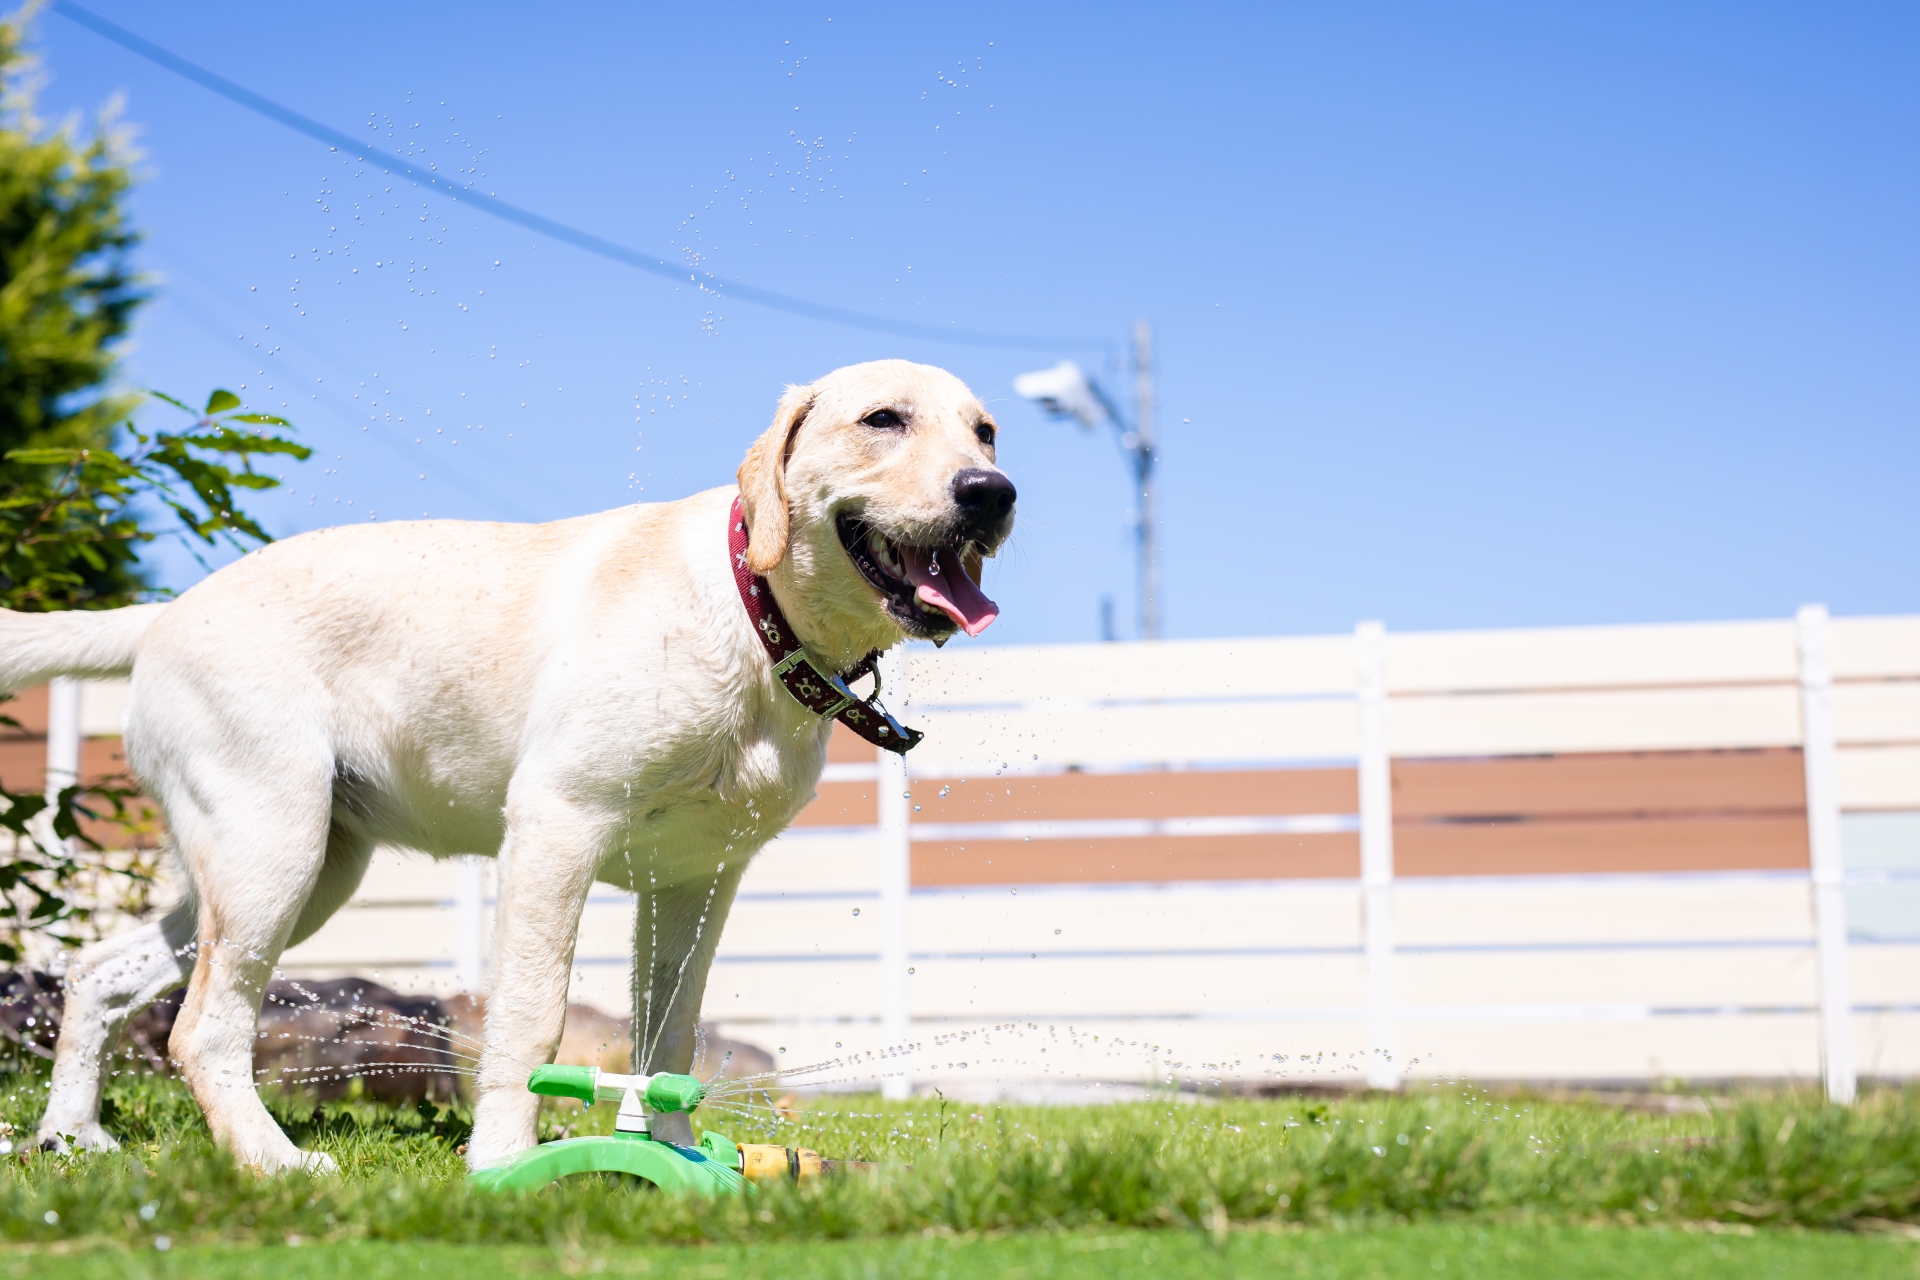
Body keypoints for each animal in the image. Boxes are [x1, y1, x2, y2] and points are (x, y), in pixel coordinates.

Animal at [3, 358, 1021, 1174]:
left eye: (986, 430)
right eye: (883, 419)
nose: (993, 492)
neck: (751, 609)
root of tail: (166, 611)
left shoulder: (695, 880)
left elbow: (669, 1041)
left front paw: (677, 1159)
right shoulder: (555, 829)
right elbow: (531, 1023)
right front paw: (498, 1165)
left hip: (296, 865)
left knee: (98, 971)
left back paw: (70, 1136)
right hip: (272, 851)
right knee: (201, 1031)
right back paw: (274, 1162)